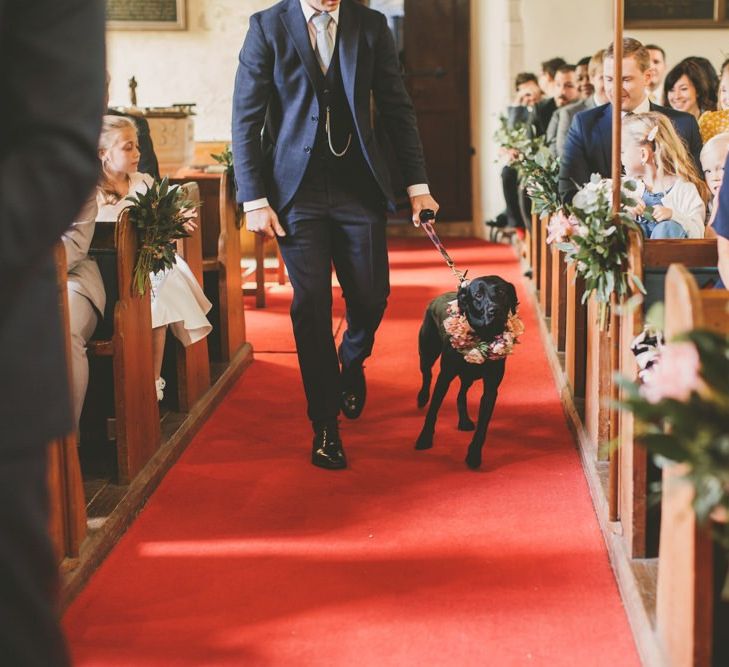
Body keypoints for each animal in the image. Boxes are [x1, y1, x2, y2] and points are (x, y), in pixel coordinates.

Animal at [416, 276, 516, 470]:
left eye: (501, 291)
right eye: (478, 295)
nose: (494, 310)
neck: (484, 336)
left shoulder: (491, 389)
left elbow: (483, 426)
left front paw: (474, 455)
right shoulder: (444, 378)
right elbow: (433, 411)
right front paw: (424, 438)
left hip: (468, 375)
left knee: (461, 394)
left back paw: (464, 420)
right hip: (427, 351)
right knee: (427, 374)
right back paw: (422, 397)